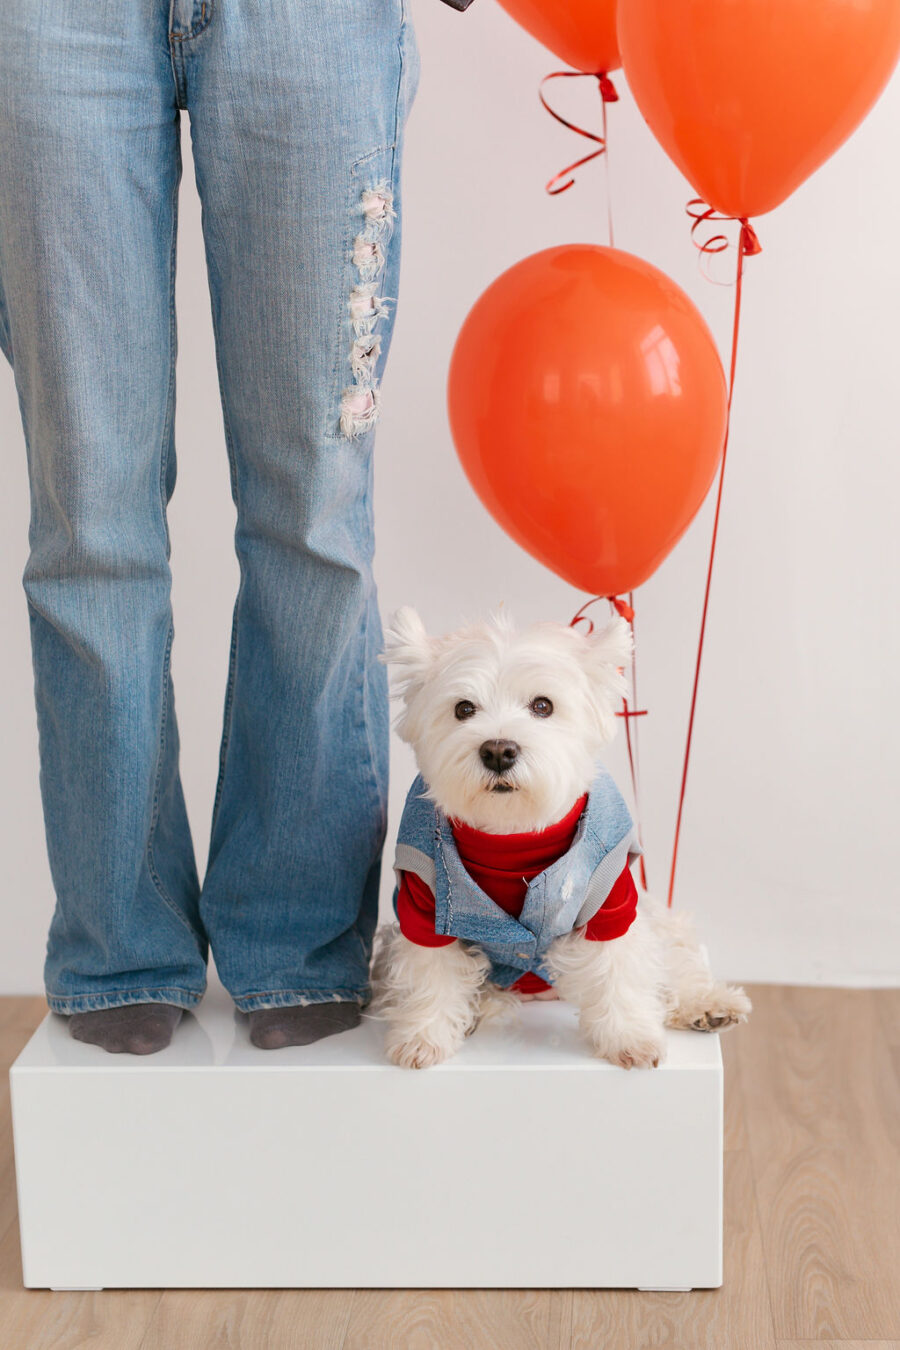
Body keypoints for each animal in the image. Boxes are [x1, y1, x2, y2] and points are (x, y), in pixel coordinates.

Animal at [369, 607, 750, 1069]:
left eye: (542, 705)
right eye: (463, 708)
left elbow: (618, 967)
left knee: (674, 958)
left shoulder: (612, 899)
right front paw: (422, 1038)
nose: (498, 750)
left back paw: (708, 1005)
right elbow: (430, 971)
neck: (514, 832)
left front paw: (630, 1038)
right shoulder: (424, 902)